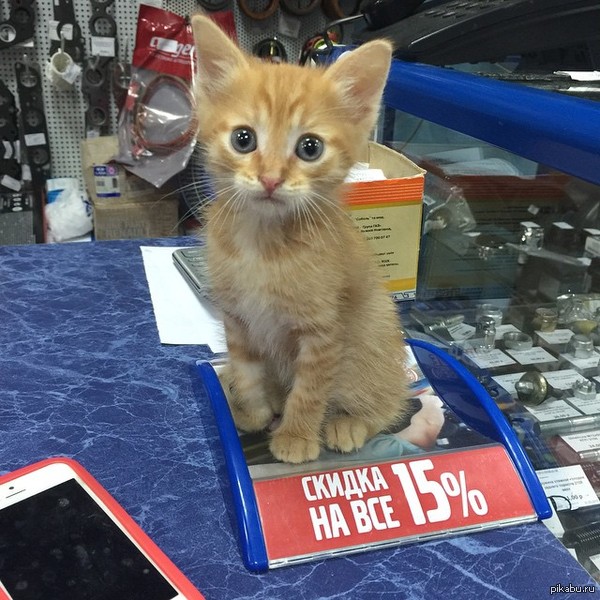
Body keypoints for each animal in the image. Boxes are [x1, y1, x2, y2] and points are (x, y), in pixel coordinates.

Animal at [190, 15, 410, 464]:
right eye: (243, 139)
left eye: (310, 148)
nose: (271, 178)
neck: (261, 243)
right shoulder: (237, 317)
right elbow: (246, 367)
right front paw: (253, 409)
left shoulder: (324, 330)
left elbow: (311, 388)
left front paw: (296, 437)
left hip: (374, 336)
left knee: (388, 402)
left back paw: (350, 422)